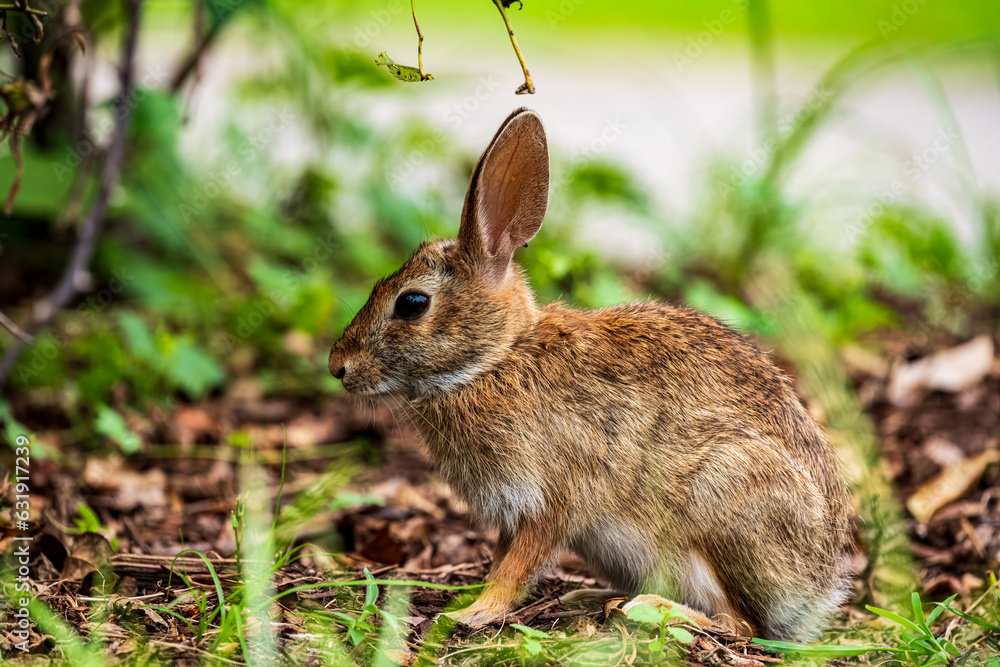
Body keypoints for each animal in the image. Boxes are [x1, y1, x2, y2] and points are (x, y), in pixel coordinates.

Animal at [328, 107, 852, 642]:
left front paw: (473, 612)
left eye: (412, 303)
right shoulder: (513, 512)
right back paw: (591, 597)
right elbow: (504, 557)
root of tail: (817, 592)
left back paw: (647, 607)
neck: (496, 359)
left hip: (722, 498)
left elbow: (517, 565)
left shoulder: (551, 497)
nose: (338, 367)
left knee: (739, 624)